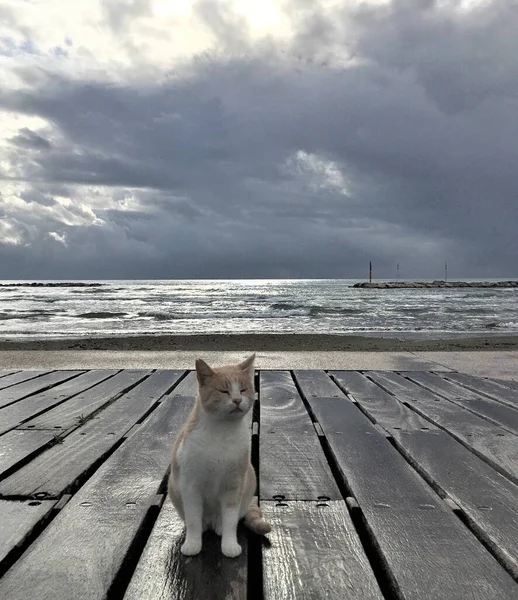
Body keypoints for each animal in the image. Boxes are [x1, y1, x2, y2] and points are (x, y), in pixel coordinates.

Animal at [169, 352, 272, 556]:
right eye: (224, 391)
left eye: (243, 389)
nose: (237, 400)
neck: (222, 433)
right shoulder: (191, 488)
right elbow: (193, 520)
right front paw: (193, 544)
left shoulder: (234, 487)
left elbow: (230, 520)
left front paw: (230, 545)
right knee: (199, 521)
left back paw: (218, 525)